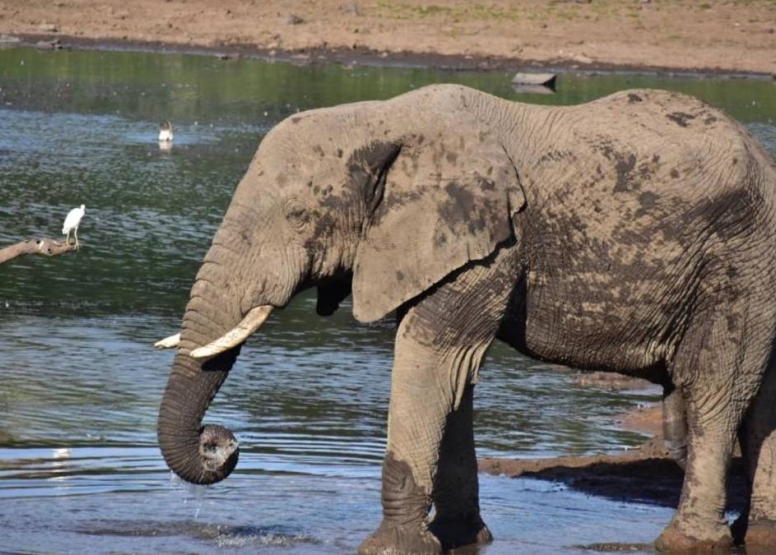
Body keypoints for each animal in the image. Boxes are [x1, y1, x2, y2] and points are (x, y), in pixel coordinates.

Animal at [156, 84, 776, 552]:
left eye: (299, 216)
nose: (221, 443)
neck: (384, 118)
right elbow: (455, 377)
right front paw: (461, 538)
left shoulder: (493, 244)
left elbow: (431, 354)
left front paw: (392, 548)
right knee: (760, 401)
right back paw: (760, 532)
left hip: (737, 264)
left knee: (715, 388)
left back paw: (689, 542)